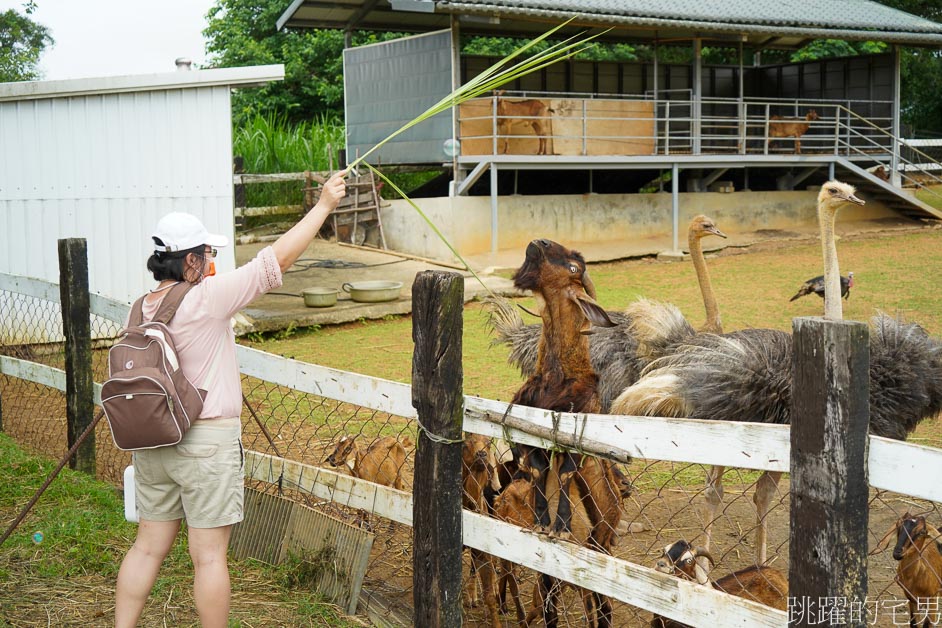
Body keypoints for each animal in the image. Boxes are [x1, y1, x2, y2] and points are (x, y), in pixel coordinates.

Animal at [508, 238, 628, 624]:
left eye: (575, 267)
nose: (539, 242)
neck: (558, 377)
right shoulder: (524, 433)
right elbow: (538, 468)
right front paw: (542, 522)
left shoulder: (579, 428)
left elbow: (564, 470)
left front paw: (559, 525)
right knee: (553, 600)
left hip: (599, 546)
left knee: (600, 605)